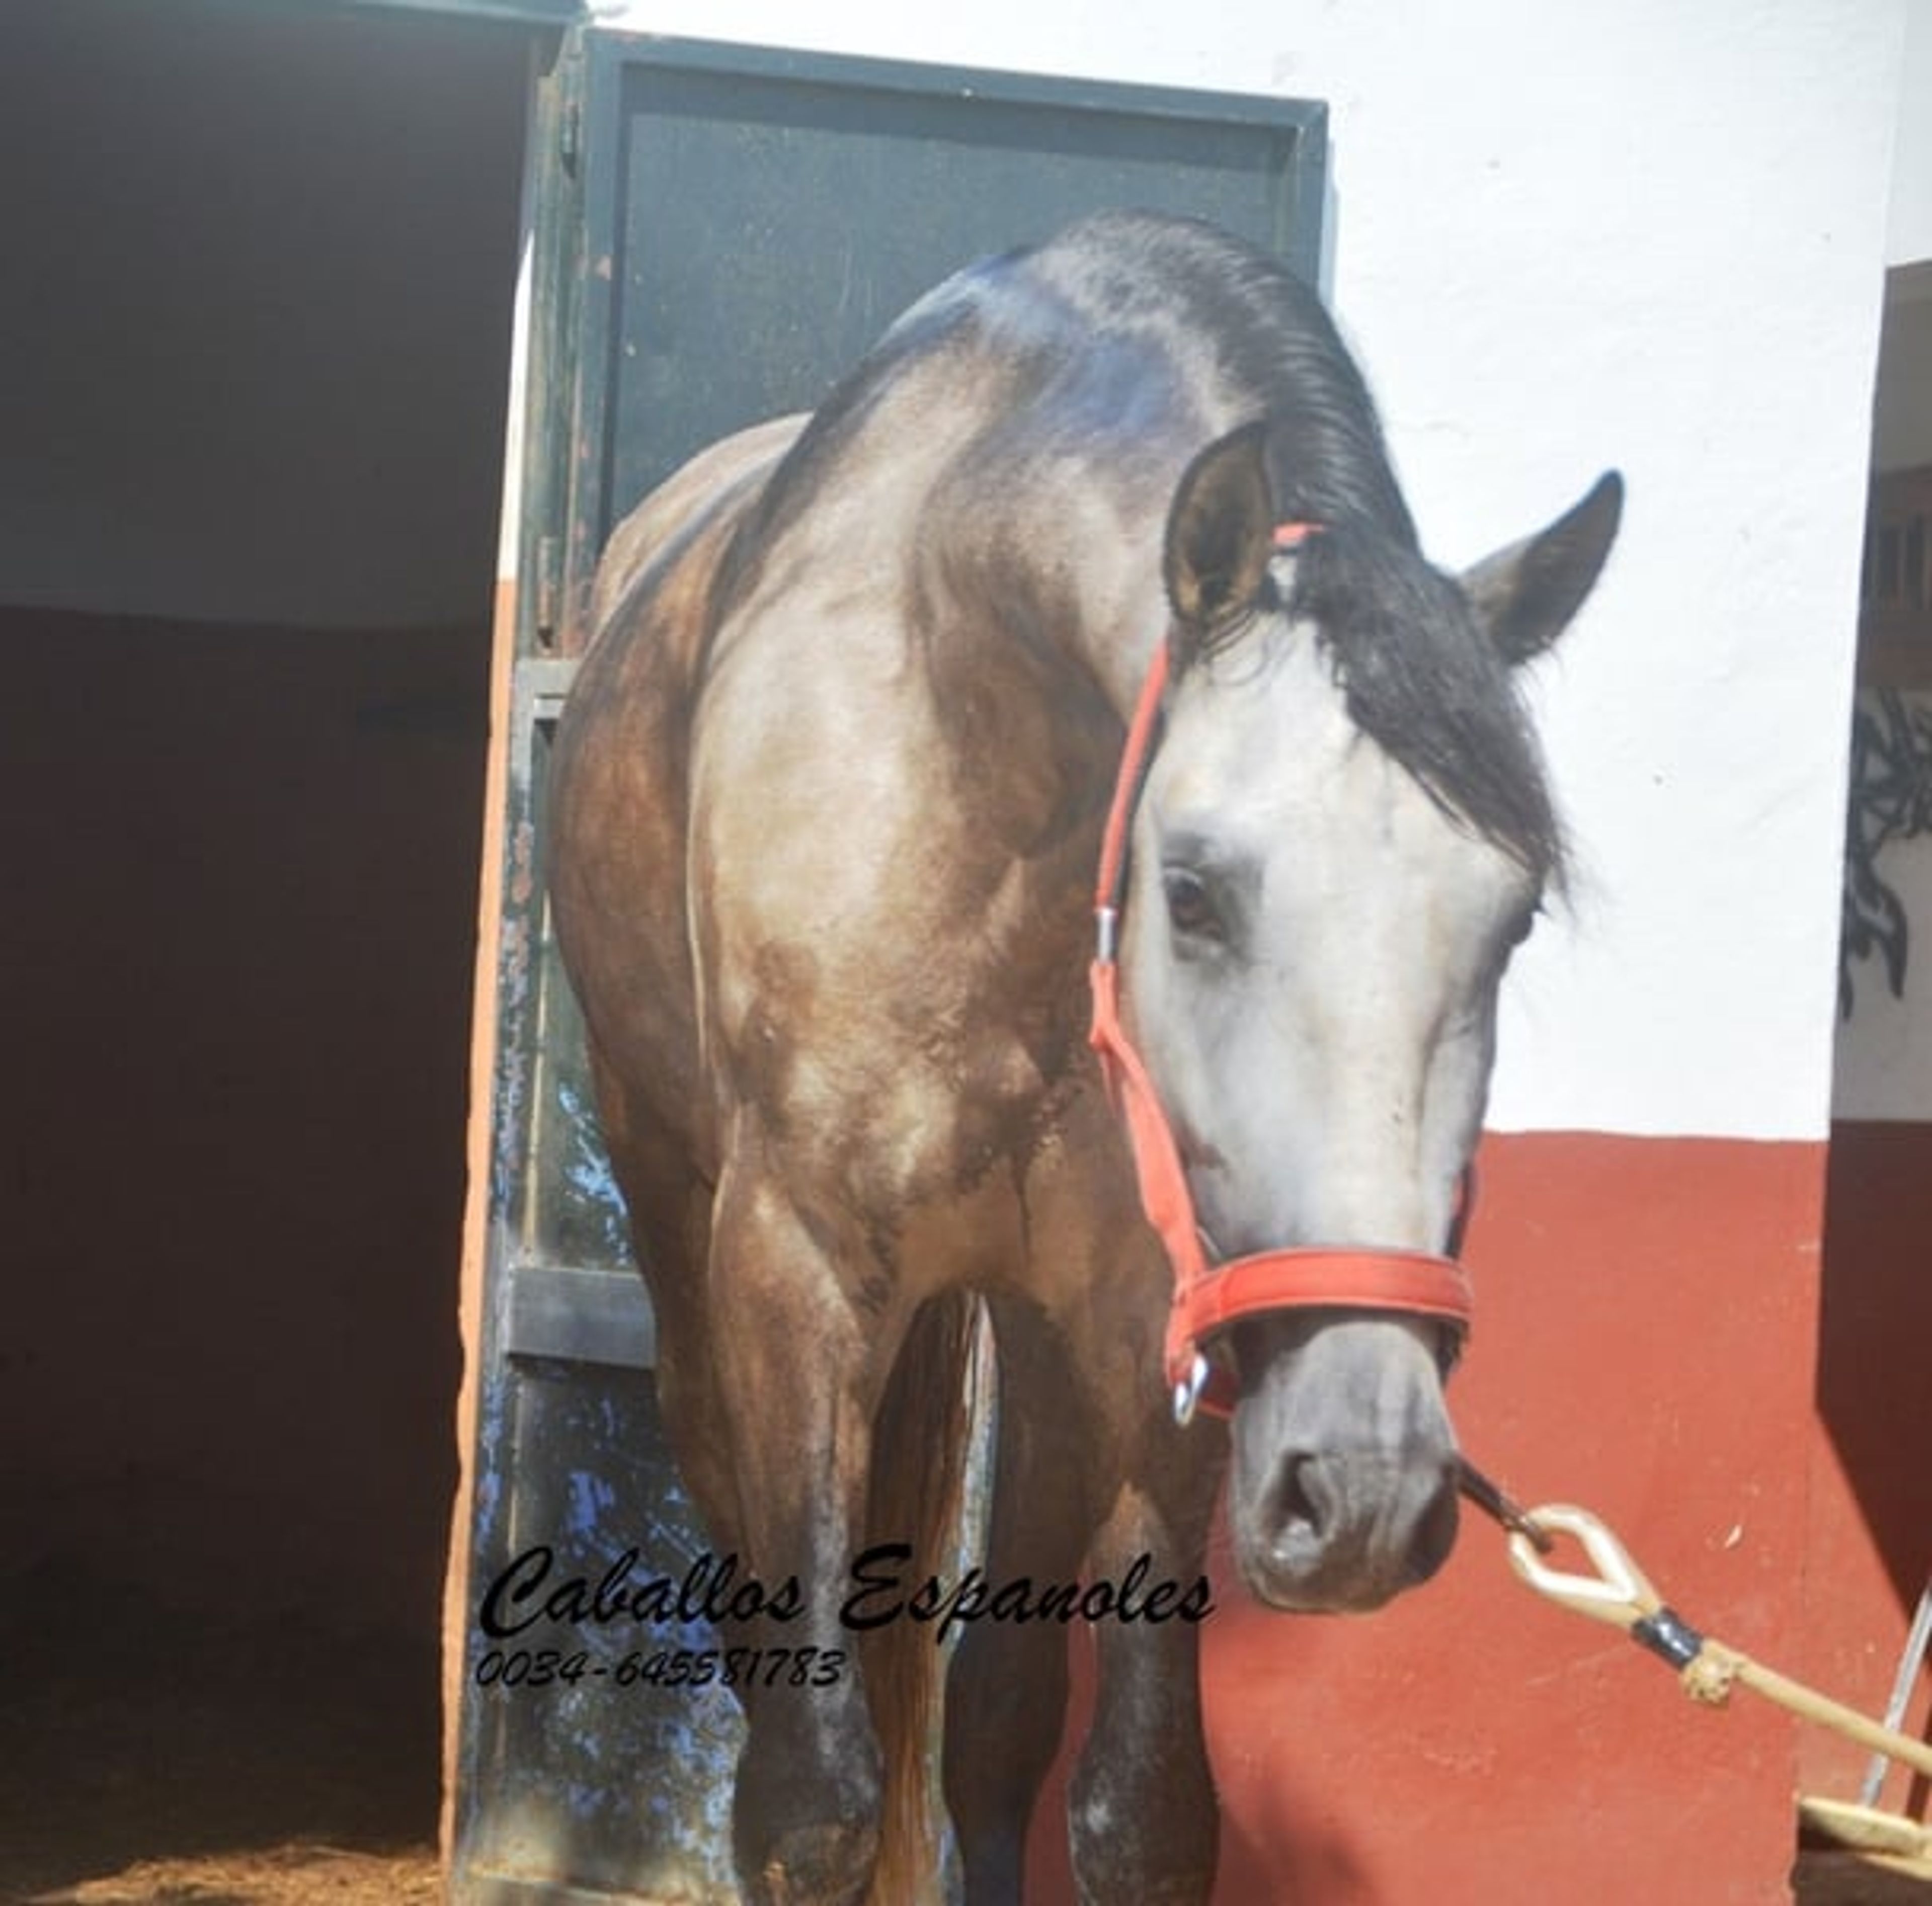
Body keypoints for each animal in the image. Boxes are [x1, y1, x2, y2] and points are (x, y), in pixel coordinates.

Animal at [547, 209, 1620, 1906]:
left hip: (1039, 1338)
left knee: (992, 1714)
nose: (1367, 1476)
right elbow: (809, 1798)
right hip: (683, 1251)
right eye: (1192, 889)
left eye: (1511, 917)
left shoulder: (1146, 1317)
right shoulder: (791, 1273)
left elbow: (1127, 1803)